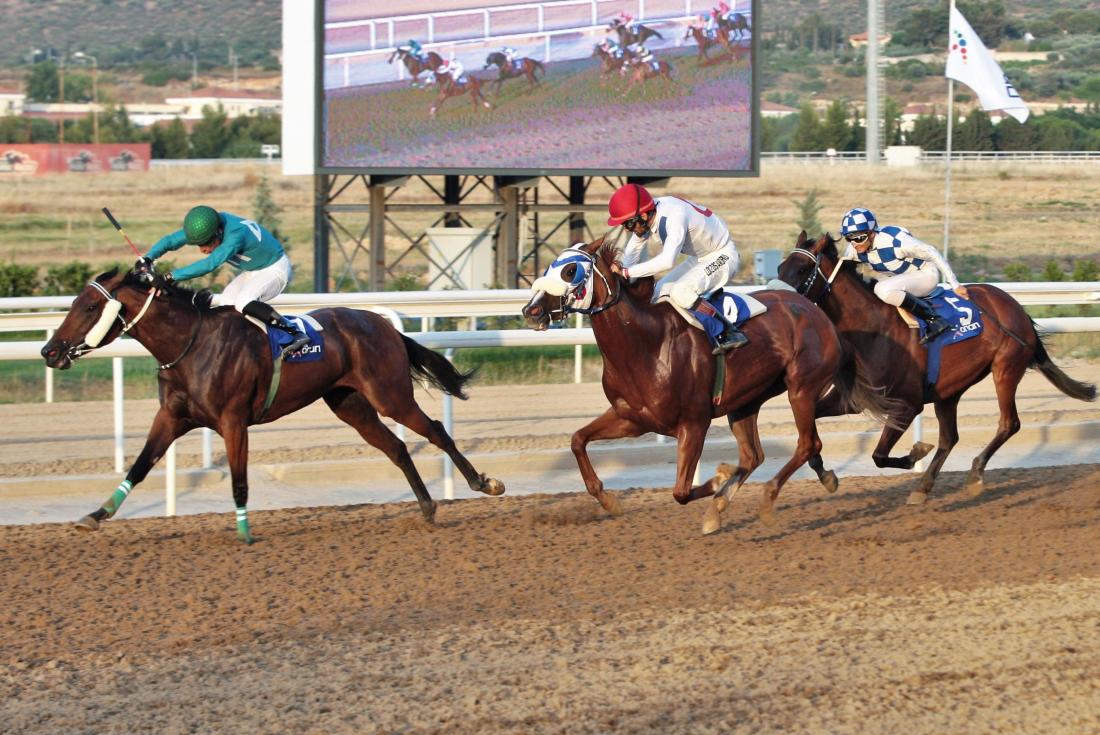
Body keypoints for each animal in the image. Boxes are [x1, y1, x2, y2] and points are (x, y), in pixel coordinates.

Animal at [40, 268, 506, 543]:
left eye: (90, 306)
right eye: (75, 303)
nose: (49, 350)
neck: (190, 344)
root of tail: (383, 325)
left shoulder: (233, 421)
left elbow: (239, 481)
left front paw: (245, 533)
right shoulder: (172, 417)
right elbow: (139, 467)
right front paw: (95, 514)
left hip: (390, 395)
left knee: (436, 431)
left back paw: (484, 483)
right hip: (350, 404)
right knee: (397, 448)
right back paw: (427, 507)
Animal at [521, 236, 898, 533]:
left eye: (570, 271)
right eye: (552, 266)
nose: (531, 310)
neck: (646, 344)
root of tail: (818, 313)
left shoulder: (694, 421)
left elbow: (680, 491)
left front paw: (716, 479)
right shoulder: (632, 418)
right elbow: (577, 440)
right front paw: (609, 500)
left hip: (801, 388)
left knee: (807, 444)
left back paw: (766, 498)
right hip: (746, 401)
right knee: (754, 455)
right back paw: (726, 504)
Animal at [777, 232, 1096, 504]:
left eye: (803, 269)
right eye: (781, 268)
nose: (783, 303)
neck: (875, 329)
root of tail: (1015, 306)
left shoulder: (907, 405)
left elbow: (879, 455)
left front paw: (916, 451)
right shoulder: (851, 399)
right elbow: (811, 429)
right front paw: (825, 475)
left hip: (1006, 368)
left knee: (1009, 423)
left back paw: (975, 473)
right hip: (949, 390)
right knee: (950, 438)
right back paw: (924, 487)